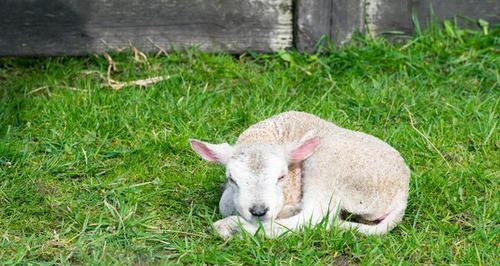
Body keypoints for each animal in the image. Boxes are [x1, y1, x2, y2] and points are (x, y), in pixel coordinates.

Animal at [189, 110, 408, 239]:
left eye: (281, 176)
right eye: (232, 178)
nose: (259, 211)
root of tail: (402, 195)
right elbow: (226, 202)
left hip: (328, 167)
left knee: (313, 218)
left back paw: (231, 227)